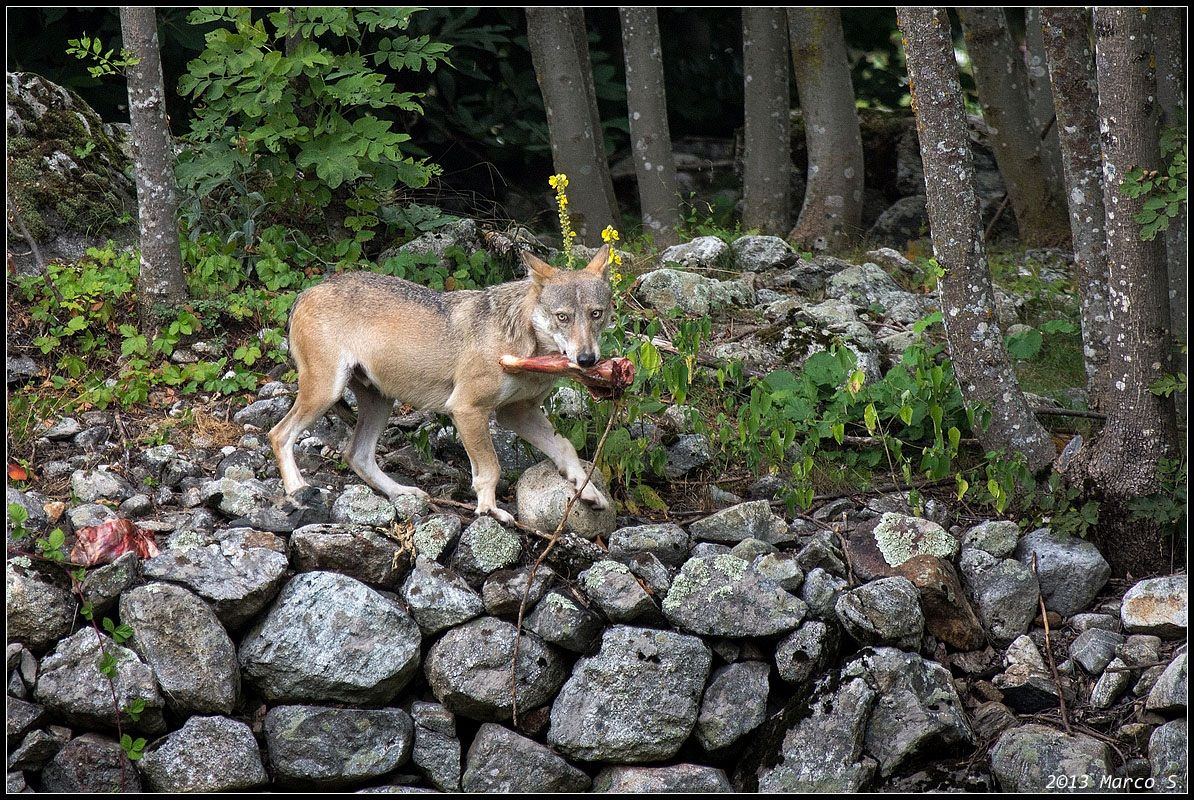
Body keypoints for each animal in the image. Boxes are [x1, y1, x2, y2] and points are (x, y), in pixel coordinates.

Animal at [269, 244, 614, 524]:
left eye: (596, 314)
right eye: (562, 317)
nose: (587, 359)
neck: (523, 343)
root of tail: (307, 291)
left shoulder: (515, 413)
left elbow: (565, 448)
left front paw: (589, 492)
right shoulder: (467, 410)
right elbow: (490, 468)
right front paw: (489, 510)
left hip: (379, 403)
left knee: (357, 455)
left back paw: (402, 493)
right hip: (326, 393)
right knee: (279, 434)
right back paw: (297, 490)